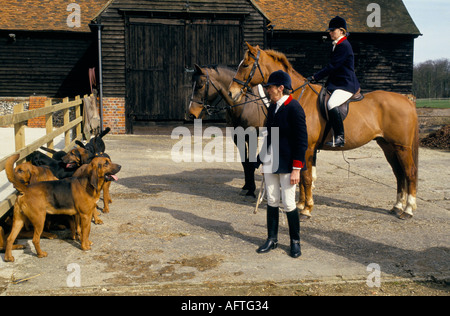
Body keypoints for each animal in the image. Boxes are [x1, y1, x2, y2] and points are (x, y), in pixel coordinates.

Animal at [188, 64, 268, 196]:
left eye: (200, 85)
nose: (191, 114)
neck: (242, 103)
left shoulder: (251, 136)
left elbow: (250, 163)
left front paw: (251, 190)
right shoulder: (237, 137)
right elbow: (245, 162)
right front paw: (247, 186)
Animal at [229, 43, 418, 220]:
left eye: (245, 65)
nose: (232, 93)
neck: (300, 97)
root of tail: (407, 100)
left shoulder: (306, 148)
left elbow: (305, 177)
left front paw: (306, 210)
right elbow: (303, 177)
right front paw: (301, 204)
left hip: (402, 147)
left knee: (409, 173)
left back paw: (408, 210)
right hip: (388, 147)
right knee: (399, 174)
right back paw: (397, 207)